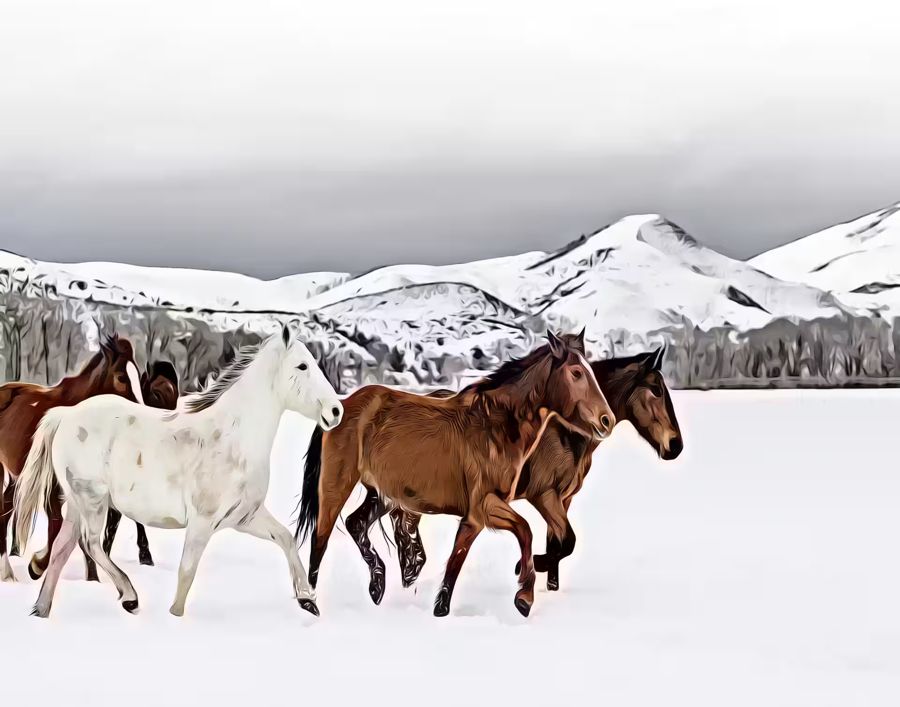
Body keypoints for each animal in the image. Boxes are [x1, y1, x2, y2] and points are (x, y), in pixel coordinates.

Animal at [0, 334, 144, 583]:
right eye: (121, 377)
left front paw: (92, 580)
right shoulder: (52, 487)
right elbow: (56, 526)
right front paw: (37, 566)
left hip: (16, 477)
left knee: (5, 511)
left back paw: (8, 573)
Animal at [14, 324, 342, 618]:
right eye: (302, 365)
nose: (335, 410)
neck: (234, 438)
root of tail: (65, 414)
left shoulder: (245, 516)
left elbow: (286, 538)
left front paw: (308, 601)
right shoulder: (202, 522)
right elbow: (187, 572)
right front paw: (175, 616)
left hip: (77, 502)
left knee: (61, 549)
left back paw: (41, 609)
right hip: (93, 500)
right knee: (91, 543)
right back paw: (129, 596)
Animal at [295, 331, 616, 618]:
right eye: (576, 372)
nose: (607, 420)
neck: (496, 427)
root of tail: (340, 407)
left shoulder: (481, 513)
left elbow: (457, 558)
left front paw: (441, 608)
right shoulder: (484, 505)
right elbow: (523, 531)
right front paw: (524, 597)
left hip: (383, 494)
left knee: (355, 523)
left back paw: (377, 584)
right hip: (336, 487)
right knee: (319, 540)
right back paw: (310, 602)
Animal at [368, 346, 683, 595]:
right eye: (656, 390)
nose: (676, 445)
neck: (565, 433)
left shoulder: (563, 499)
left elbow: (559, 542)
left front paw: (548, 586)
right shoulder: (543, 495)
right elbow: (565, 543)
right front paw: (526, 568)